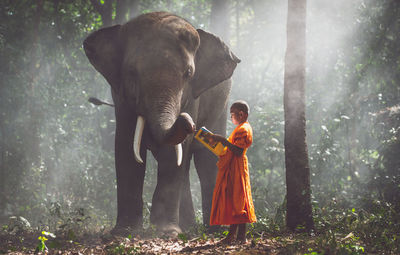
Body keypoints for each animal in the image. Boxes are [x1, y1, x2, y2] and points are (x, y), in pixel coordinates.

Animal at [83, 11, 241, 235]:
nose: (191, 124)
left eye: (189, 74)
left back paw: (214, 230)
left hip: (221, 107)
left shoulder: (193, 97)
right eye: (131, 72)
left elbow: (173, 153)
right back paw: (189, 226)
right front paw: (125, 232)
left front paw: (166, 232)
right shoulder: (120, 96)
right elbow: (125, 144)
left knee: (205, 161)